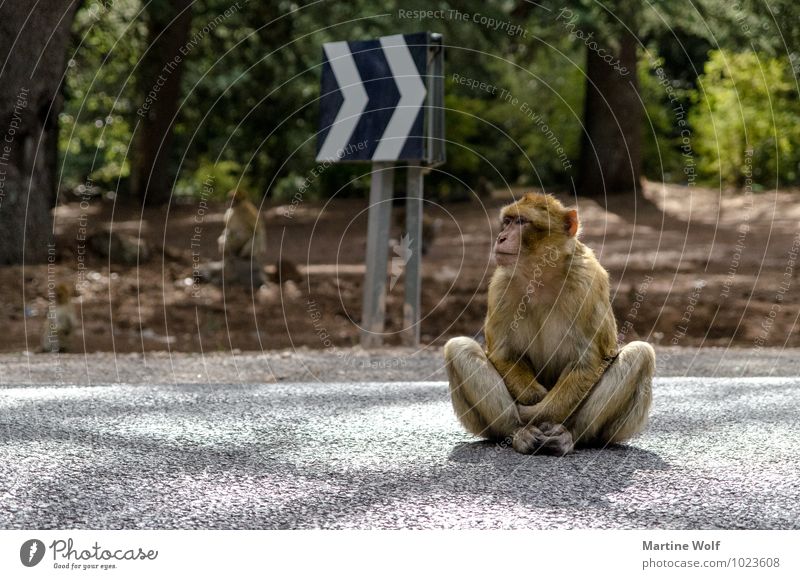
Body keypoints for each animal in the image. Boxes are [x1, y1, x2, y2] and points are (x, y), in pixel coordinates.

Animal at [444, 195, 656, 458]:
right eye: (507, 221)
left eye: (521, 222)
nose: (501, 238)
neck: (542, 276)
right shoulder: (501, 285)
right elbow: (503, 354)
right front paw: (534, 399)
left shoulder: (587, 282)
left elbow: (587, 363)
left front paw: (541, 412)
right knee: (458, 347)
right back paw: (518, 432)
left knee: (641, 353)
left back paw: (569, 436)